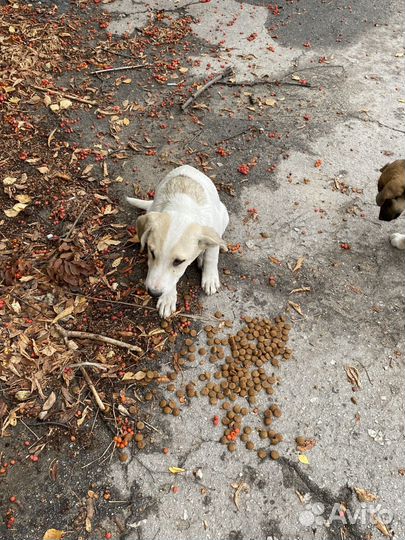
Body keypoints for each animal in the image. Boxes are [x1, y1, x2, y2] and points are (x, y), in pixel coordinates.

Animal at [126, 165, 227, 316]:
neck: (182, 207)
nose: (153, 293)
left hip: (223, 215)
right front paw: (168, 298)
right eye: (152, 253)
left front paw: (210, 278)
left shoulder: (214, 229)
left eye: (179, 261)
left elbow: (211, 256)